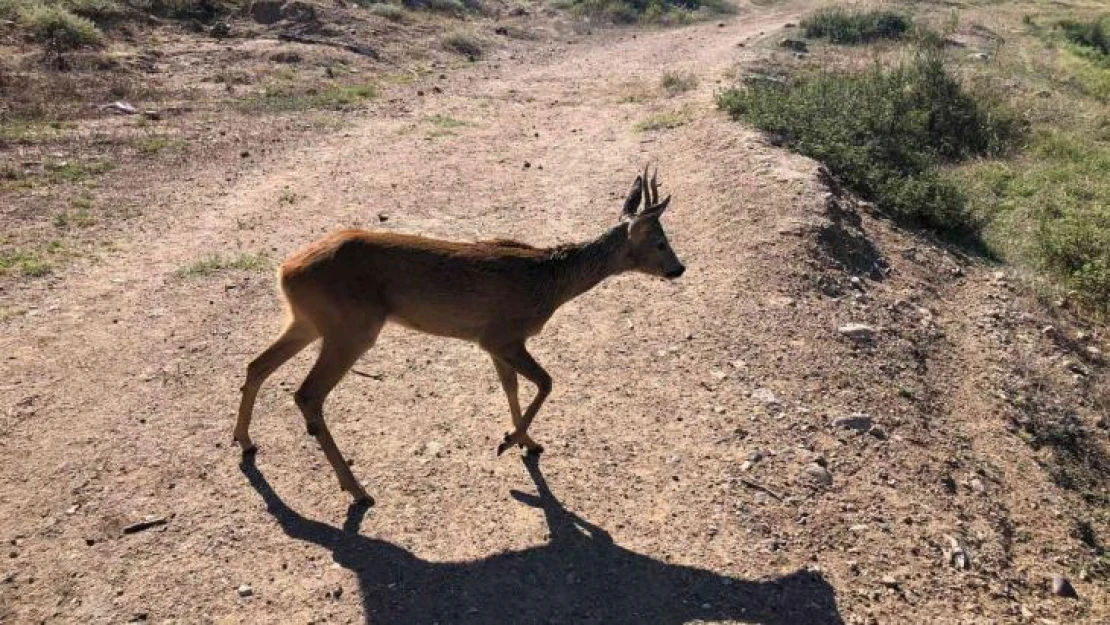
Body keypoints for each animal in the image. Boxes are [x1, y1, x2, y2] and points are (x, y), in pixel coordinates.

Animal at [236, 167, 683, 503]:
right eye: (661, 241)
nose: (680, 269)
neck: (551, 281)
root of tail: (284, 271)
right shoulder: (503, 333)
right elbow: (545, 382)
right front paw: (508, 441)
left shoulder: (492, 342)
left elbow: (511, 387)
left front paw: (526, 440)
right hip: (351, 328)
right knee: (307, 394)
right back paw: (357, 489)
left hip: (307, 321)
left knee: (256, 365)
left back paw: (244, 441)